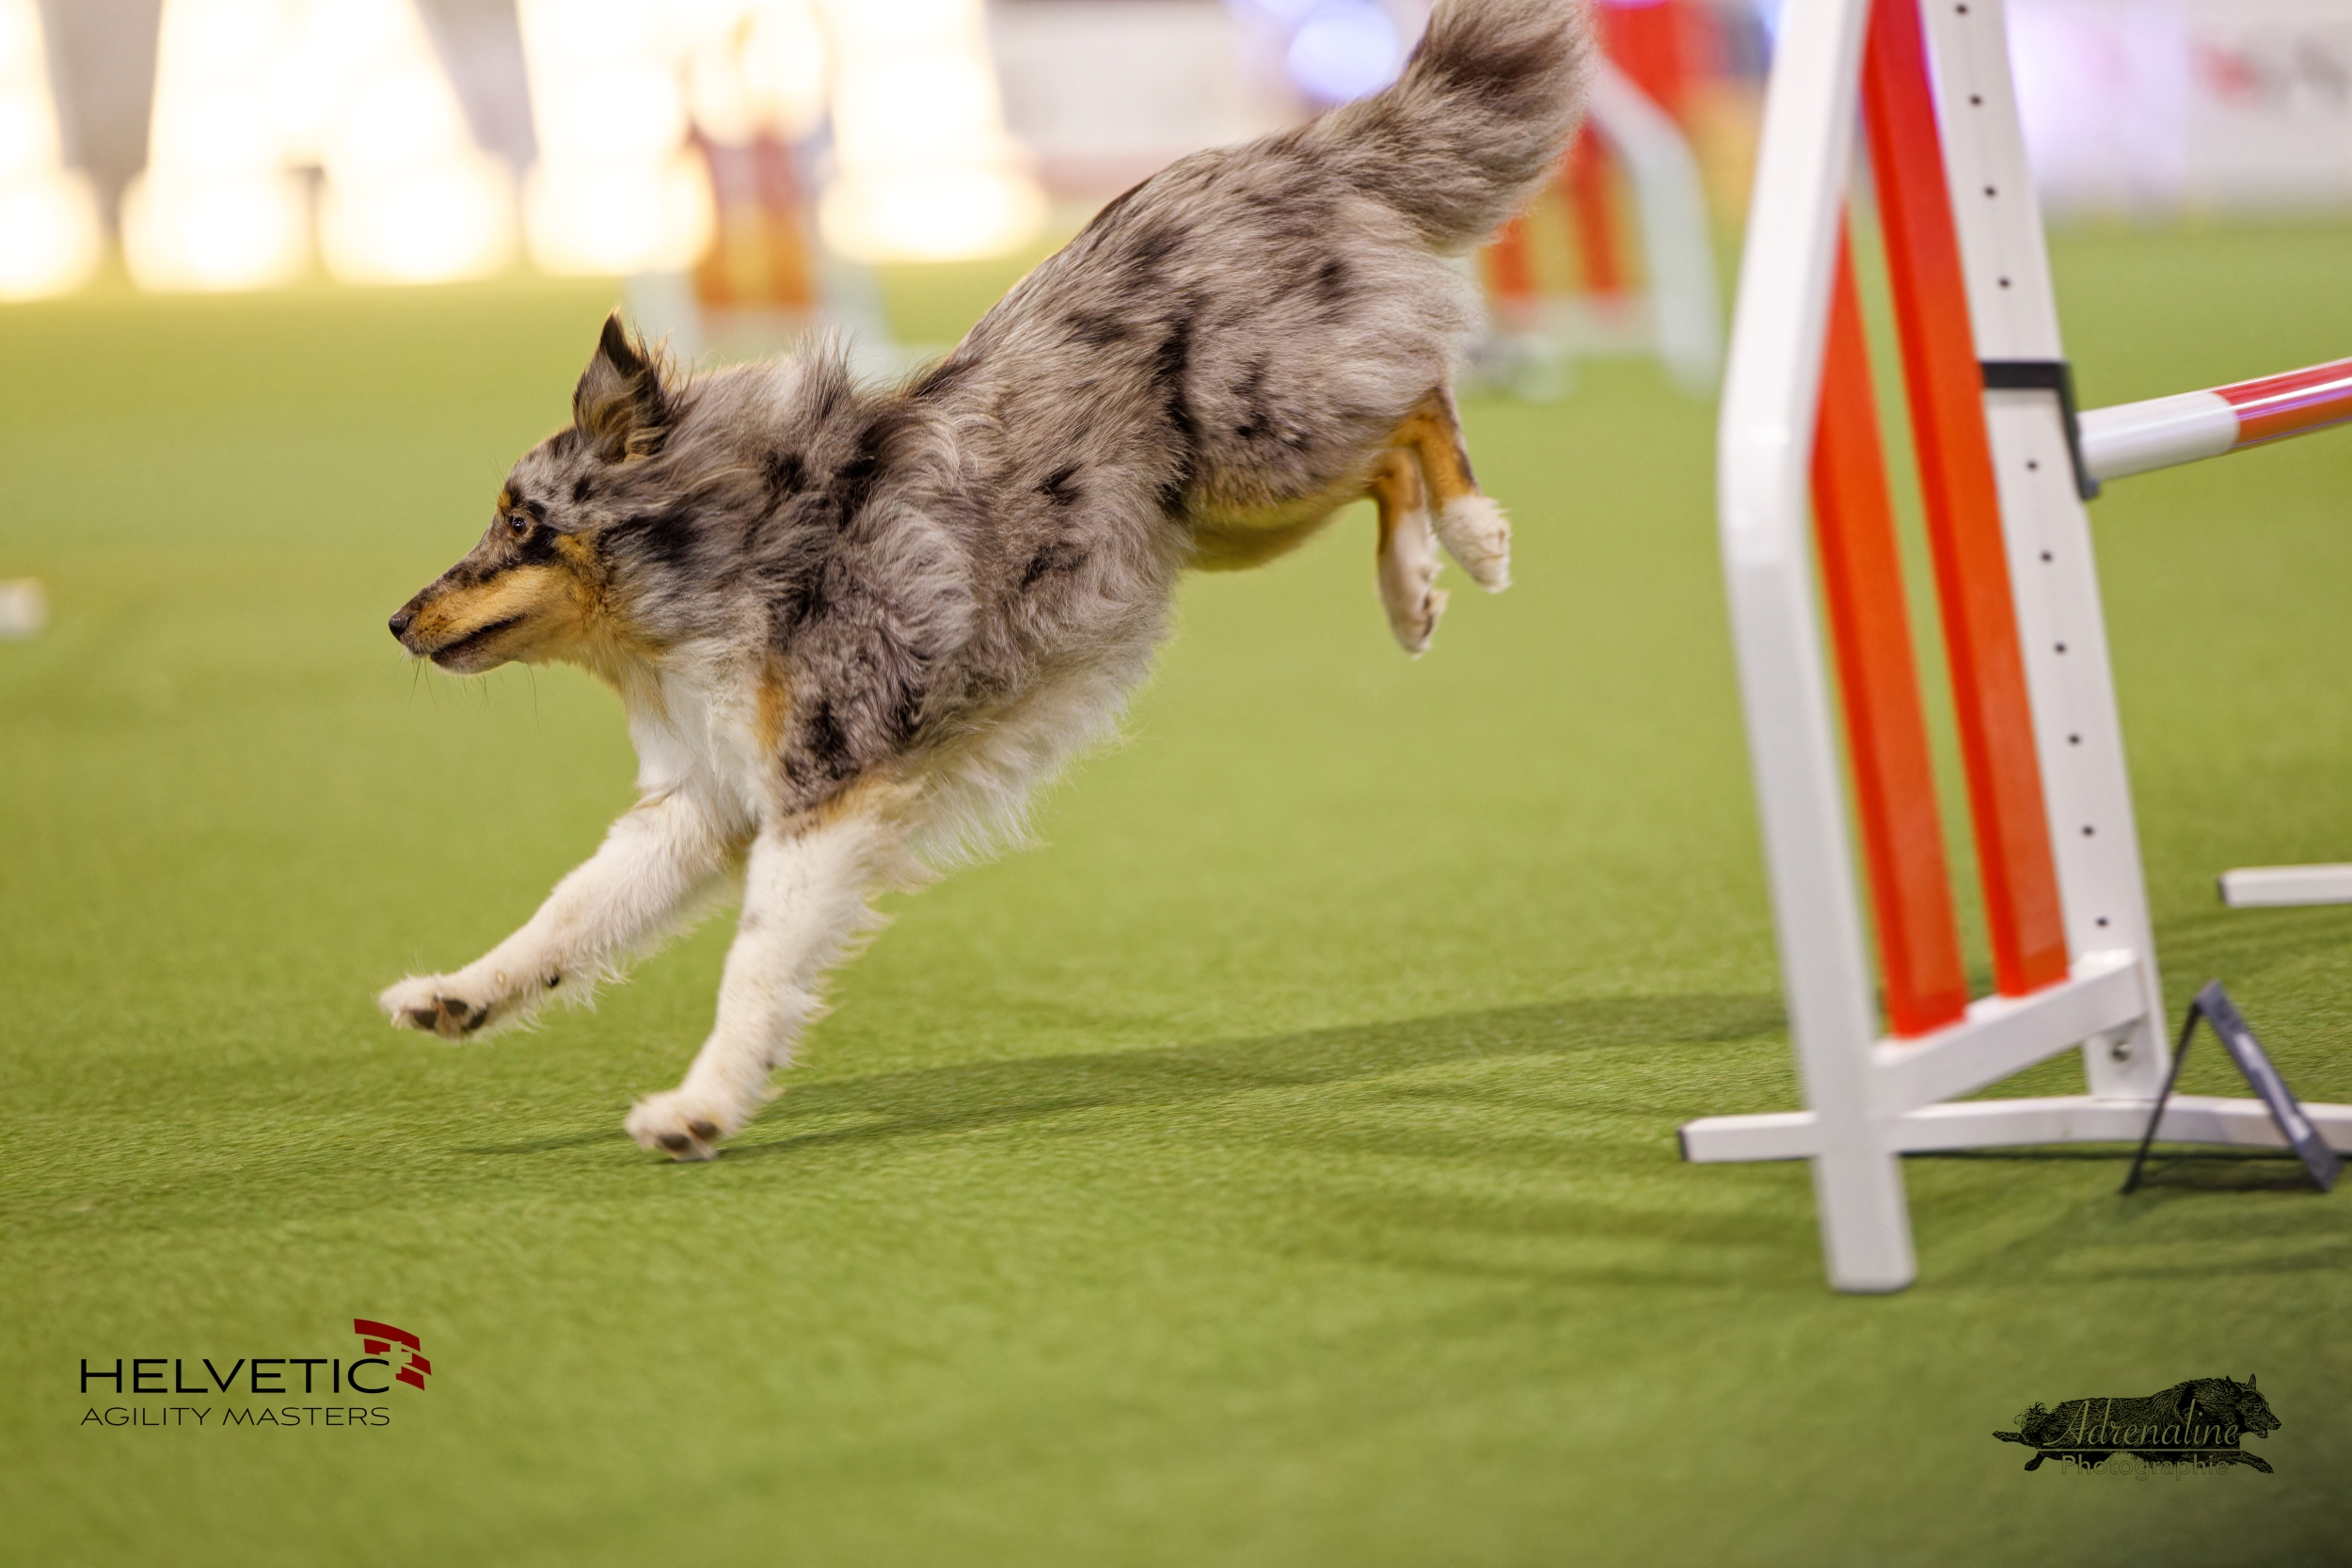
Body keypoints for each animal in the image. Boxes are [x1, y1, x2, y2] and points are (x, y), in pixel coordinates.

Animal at [382, 0, 1591, 1158]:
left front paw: (699, 1109)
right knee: (1393, 440)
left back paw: (1473, 536)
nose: (394, 620)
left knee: (1424, 383)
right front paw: (458, 996)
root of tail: (1292, 152)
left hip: (1261, 446)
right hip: (1232, 515)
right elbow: (569, 915)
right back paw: (1413, 586)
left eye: (520, 522)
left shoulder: (827, 788)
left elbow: (755, 963)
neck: (723, 568)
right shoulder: (704, 802)